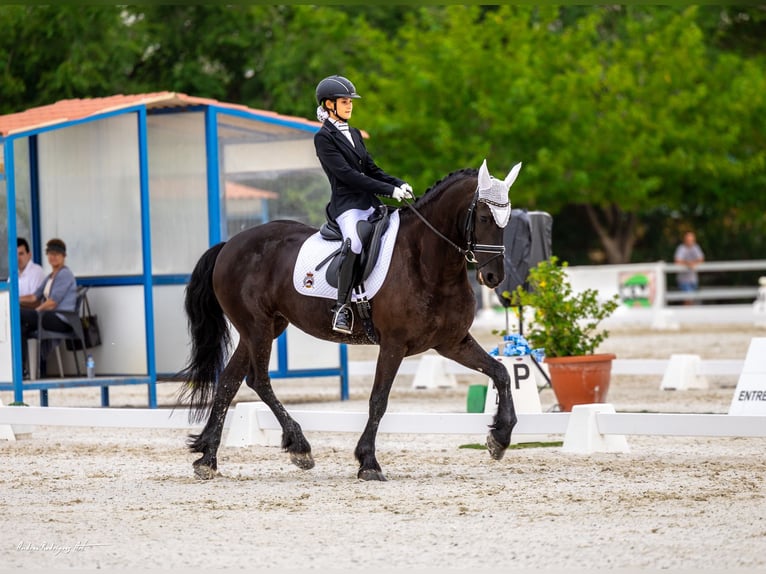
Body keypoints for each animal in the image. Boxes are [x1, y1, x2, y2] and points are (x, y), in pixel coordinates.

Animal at [177, 159, 522, 481]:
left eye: (506, 220)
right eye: (483, 217)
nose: (493, 277)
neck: (428, 262)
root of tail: (230, 244)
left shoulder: (452, 342)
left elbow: (502, 373)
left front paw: (500, 438)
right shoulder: (394, 344)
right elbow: (378, 400)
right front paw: (368, 462)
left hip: (264, 328)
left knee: (229, 382)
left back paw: (208, 458)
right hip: (257, 327)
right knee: (258, 380)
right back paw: (299, 447)